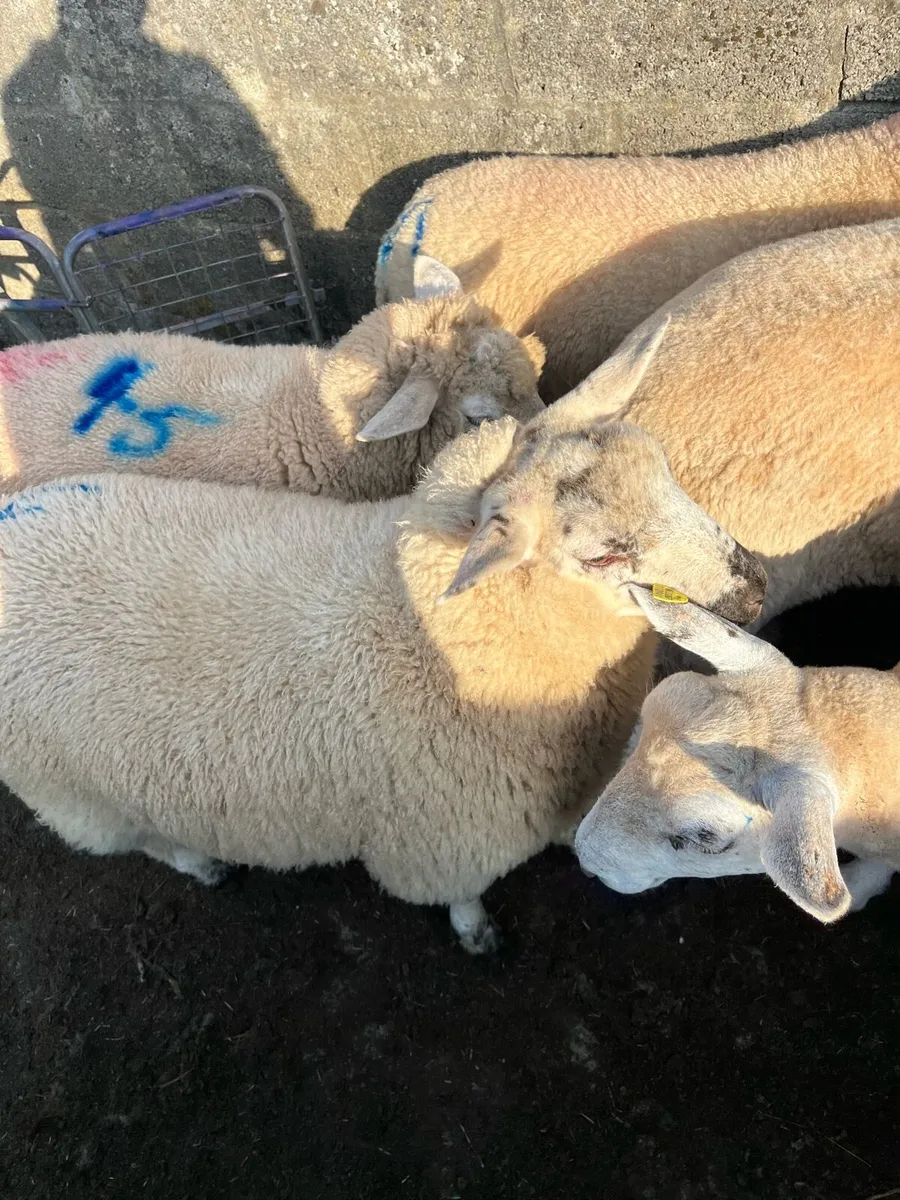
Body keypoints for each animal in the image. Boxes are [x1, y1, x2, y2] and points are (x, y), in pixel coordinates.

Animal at [0, 321, 767, 953]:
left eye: (665, 471)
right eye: (604, 555)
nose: (756, 587)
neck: (433, 632)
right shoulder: (443, 839)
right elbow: (461, 895)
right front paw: (476, 933)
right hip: (77, 794)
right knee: (145, 840)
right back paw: (204, 863)